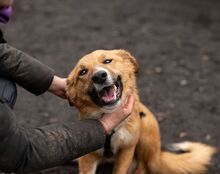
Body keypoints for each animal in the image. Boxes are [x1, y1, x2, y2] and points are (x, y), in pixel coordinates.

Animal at [65, 49, 217, 174]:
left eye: (107, 61)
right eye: (83, 72)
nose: (99, 76)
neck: (111, 125)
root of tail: (158, 156)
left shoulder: (127, 150)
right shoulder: (89, 156)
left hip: (145, 127)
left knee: (144, 167)